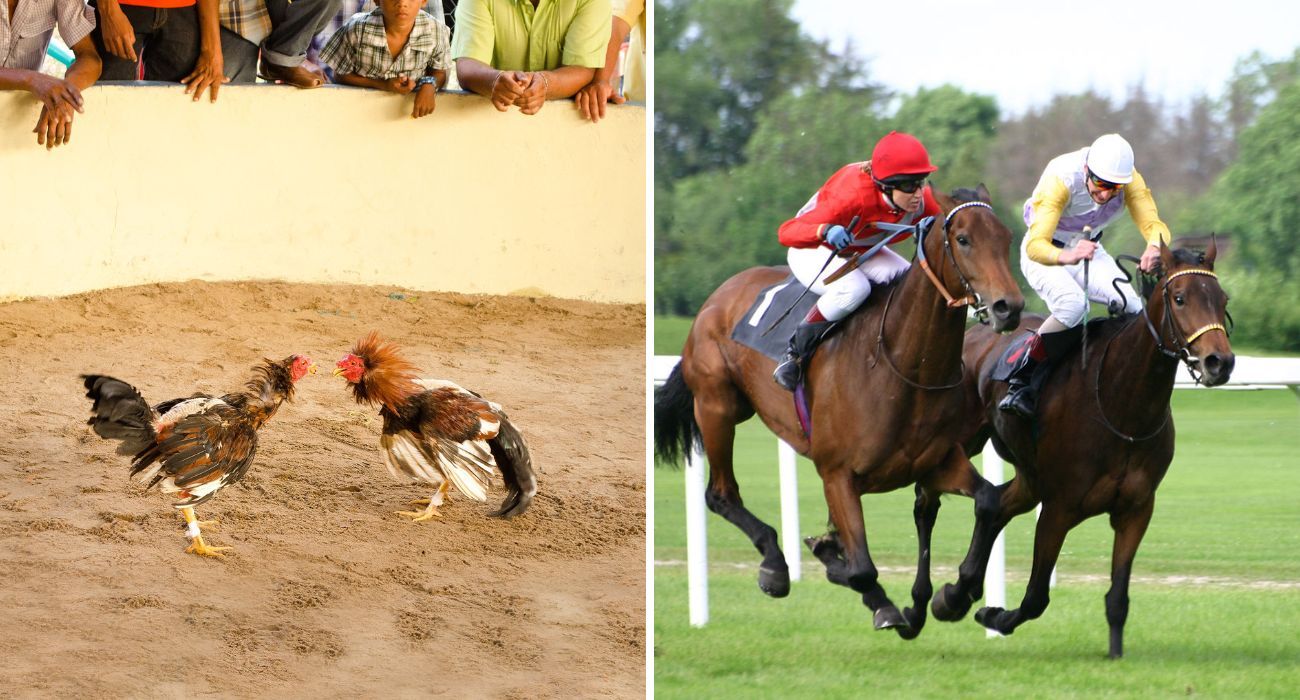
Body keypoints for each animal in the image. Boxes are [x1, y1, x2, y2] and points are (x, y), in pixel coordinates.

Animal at [654, 186, 1024, 637]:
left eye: (1006, 237)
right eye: (964, 239)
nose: (1009, 307)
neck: (902, 368)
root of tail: (718, 296)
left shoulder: (935, 462)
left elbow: (987, 500)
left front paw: (953, 595)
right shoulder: (837, 473)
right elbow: (862, 567)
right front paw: (882, 602)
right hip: (717, 405)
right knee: (720, 494)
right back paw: (775, 565)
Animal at [934, 239, 1233, 658]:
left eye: (1222, 299)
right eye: (1180, 298)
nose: (1219, 362)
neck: (1122, 406)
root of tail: (974, 334)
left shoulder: (1136, 509)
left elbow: (1117, 598)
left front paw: (1115, 654)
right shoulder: (1058, 508)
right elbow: (1036, 597)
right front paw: (995, 616)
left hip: (1030, 477)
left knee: (992, 505)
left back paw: (956, 593)